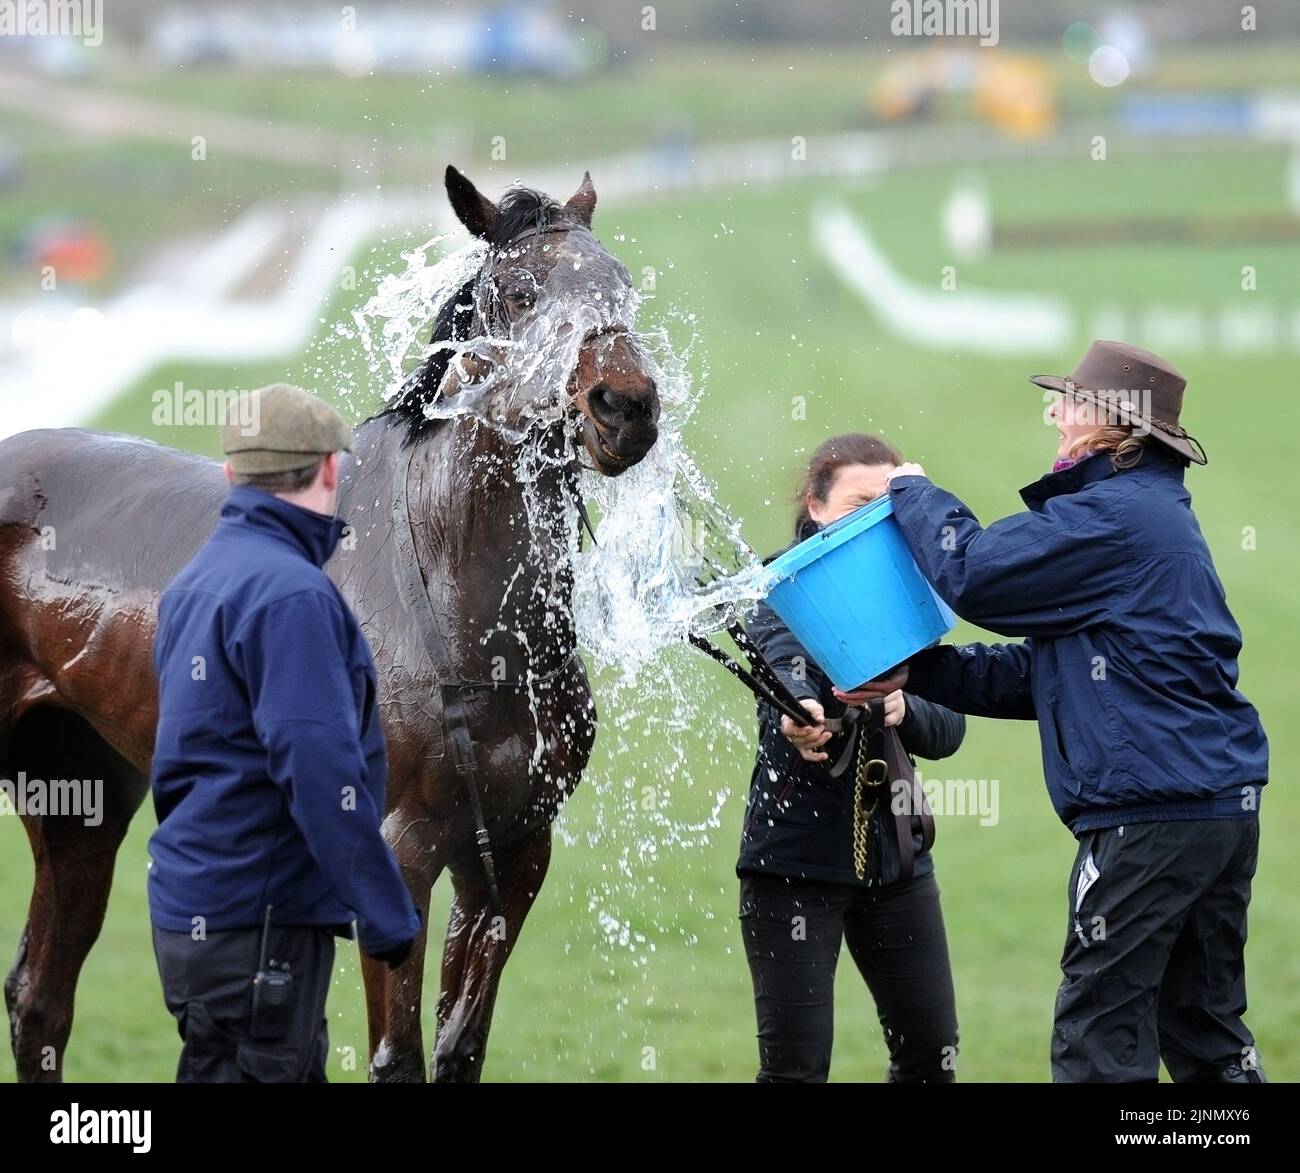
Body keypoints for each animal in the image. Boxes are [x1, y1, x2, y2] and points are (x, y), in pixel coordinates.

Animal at [0, 167, 660, 1081]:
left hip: (79, 789)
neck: (464, 621)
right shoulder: (397, 850)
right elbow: (399, 1054)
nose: (625, 403)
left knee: (41, 995)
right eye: (521, 293)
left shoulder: (511, 852)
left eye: (620, 285)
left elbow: (460, 1047)